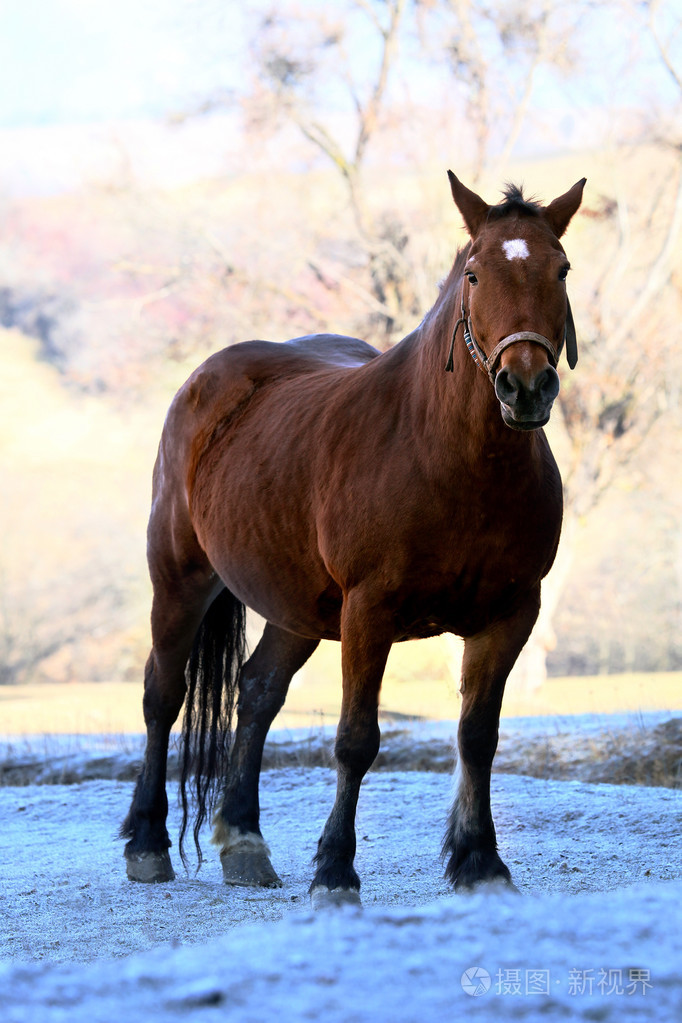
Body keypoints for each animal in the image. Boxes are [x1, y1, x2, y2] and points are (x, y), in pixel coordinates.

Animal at [121, 172, 585, 905]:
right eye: (475, 273)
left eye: (560, 268)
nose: (526, 384)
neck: (447, 458)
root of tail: (208, 381)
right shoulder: (370, 612)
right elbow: (356, 740)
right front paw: (336, 872)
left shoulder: (511, 615)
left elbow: (477, 737)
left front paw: (480, 861)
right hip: (180, 582)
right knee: (162, 696)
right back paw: (146, 842)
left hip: (297, 609)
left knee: (257, 691)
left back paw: (245, 841)